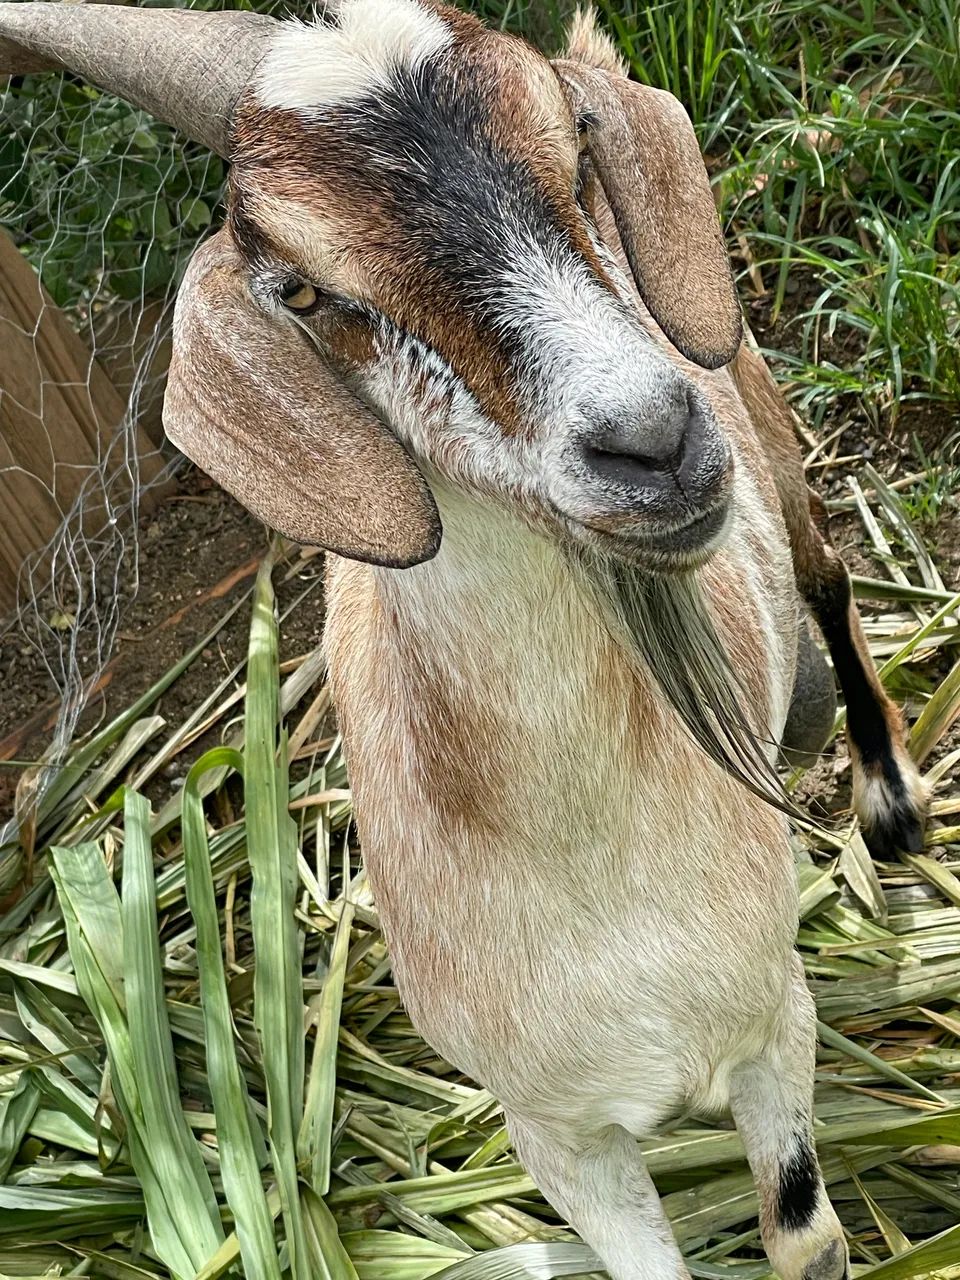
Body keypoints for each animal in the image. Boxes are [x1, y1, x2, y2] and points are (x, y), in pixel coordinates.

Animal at [0, 4, 929, 1278]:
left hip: (757, 404)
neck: (593, 868)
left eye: (575, 147)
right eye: (303, 289)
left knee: (829, 574)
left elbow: (806, 1235)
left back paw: (890, 800)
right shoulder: (555, 1131)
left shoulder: (774, 1016)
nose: (653, 439)